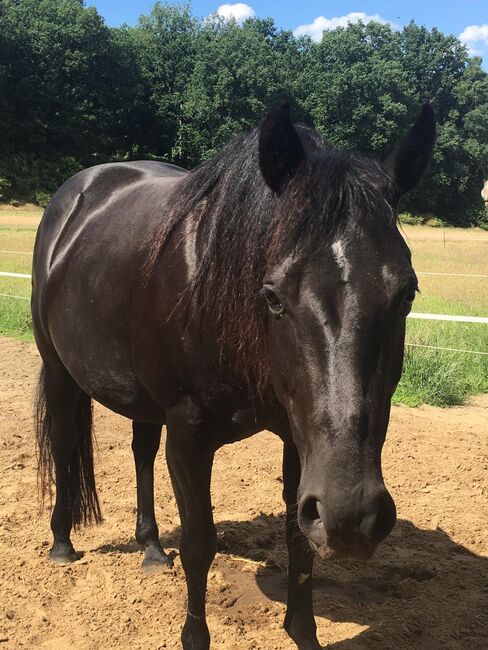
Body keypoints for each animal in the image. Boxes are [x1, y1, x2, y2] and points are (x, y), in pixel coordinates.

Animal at [31, 104, 434, 644]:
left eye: (407, 293)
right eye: (273, 296)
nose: (352, 516)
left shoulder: (300, 441)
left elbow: (298, 538)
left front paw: (303, 632)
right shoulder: (189, 434)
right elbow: (200, 542)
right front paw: (194, 639)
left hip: (142, 398)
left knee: (141, 451)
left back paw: (152, 548)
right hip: (59, 371)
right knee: (64, 441)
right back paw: (61, 544)